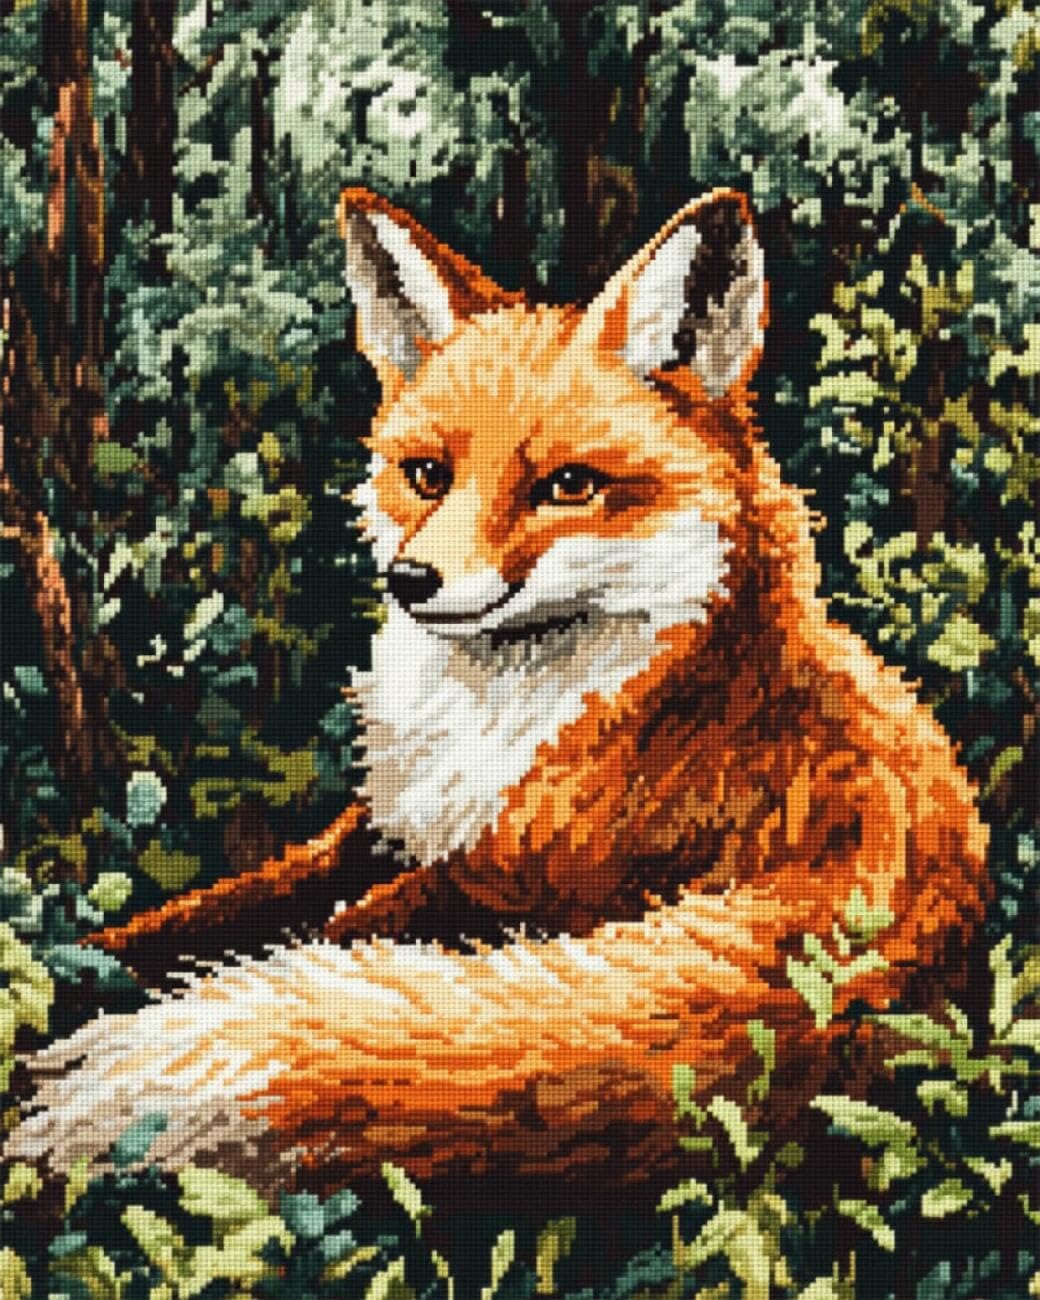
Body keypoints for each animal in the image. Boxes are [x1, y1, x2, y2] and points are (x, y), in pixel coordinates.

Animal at [8, 188, 989, 1203]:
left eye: (569, 486)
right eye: (427, 475)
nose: (410, 580)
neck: (502, 724)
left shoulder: (506, 883)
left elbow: (335, 931)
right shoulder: (379, 830)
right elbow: (206, 913)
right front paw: (72, 962)